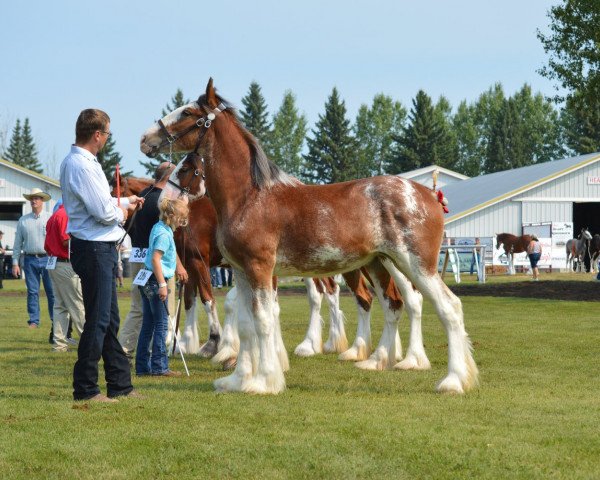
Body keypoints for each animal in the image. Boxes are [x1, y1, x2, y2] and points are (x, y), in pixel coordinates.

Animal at [139, 79, 474, 394]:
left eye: (187, 113)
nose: (145, 139)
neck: (250, 197)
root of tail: (429, 194)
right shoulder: (241, 271)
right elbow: (246, 325)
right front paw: (238, 379)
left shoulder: (259, 268)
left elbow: (263, 321)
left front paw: (264, 381)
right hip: (380, 263)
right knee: (394, 305)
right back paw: (377, 360)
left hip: (416, 265)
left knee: (449, 308)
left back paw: (452, 380)